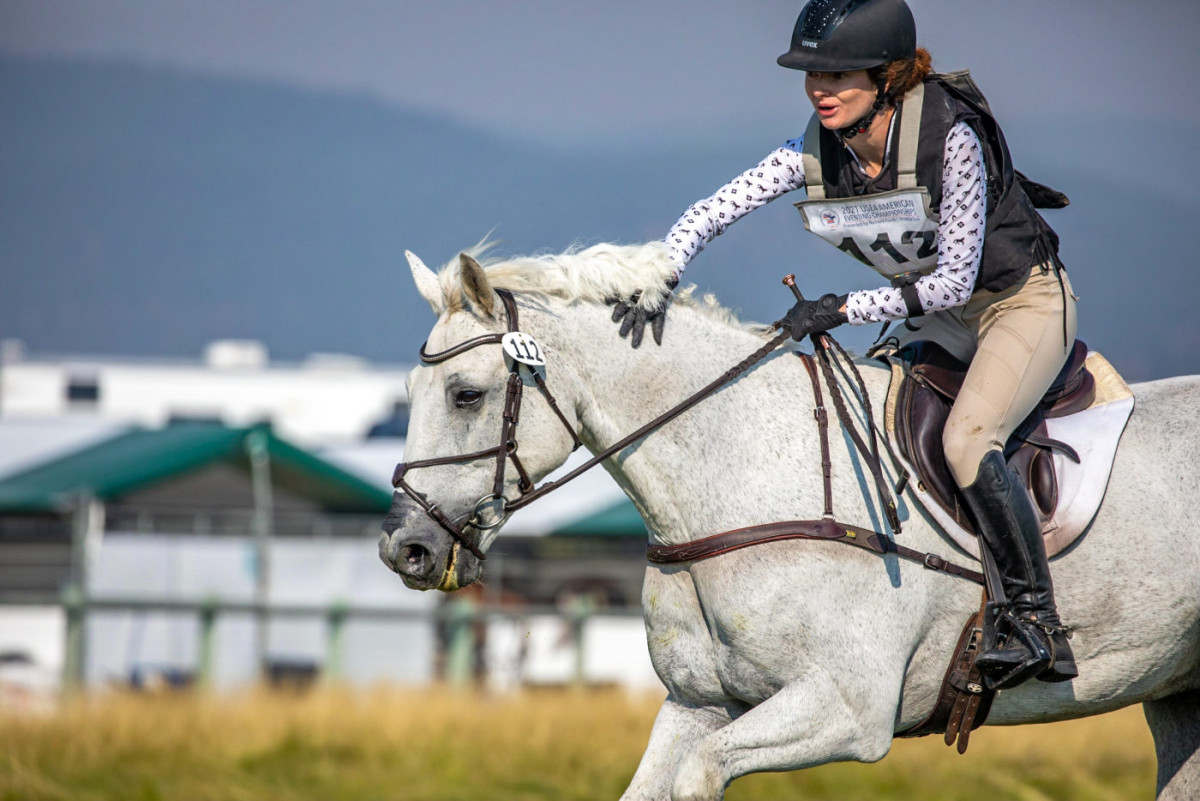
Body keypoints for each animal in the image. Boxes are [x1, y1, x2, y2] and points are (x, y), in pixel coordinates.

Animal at [381, 241, 1200, 796]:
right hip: (1178, 693)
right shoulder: (699, 704)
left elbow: (701, 774)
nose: (404, 549)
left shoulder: (845, 708)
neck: (739, 474)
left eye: (465, 394)